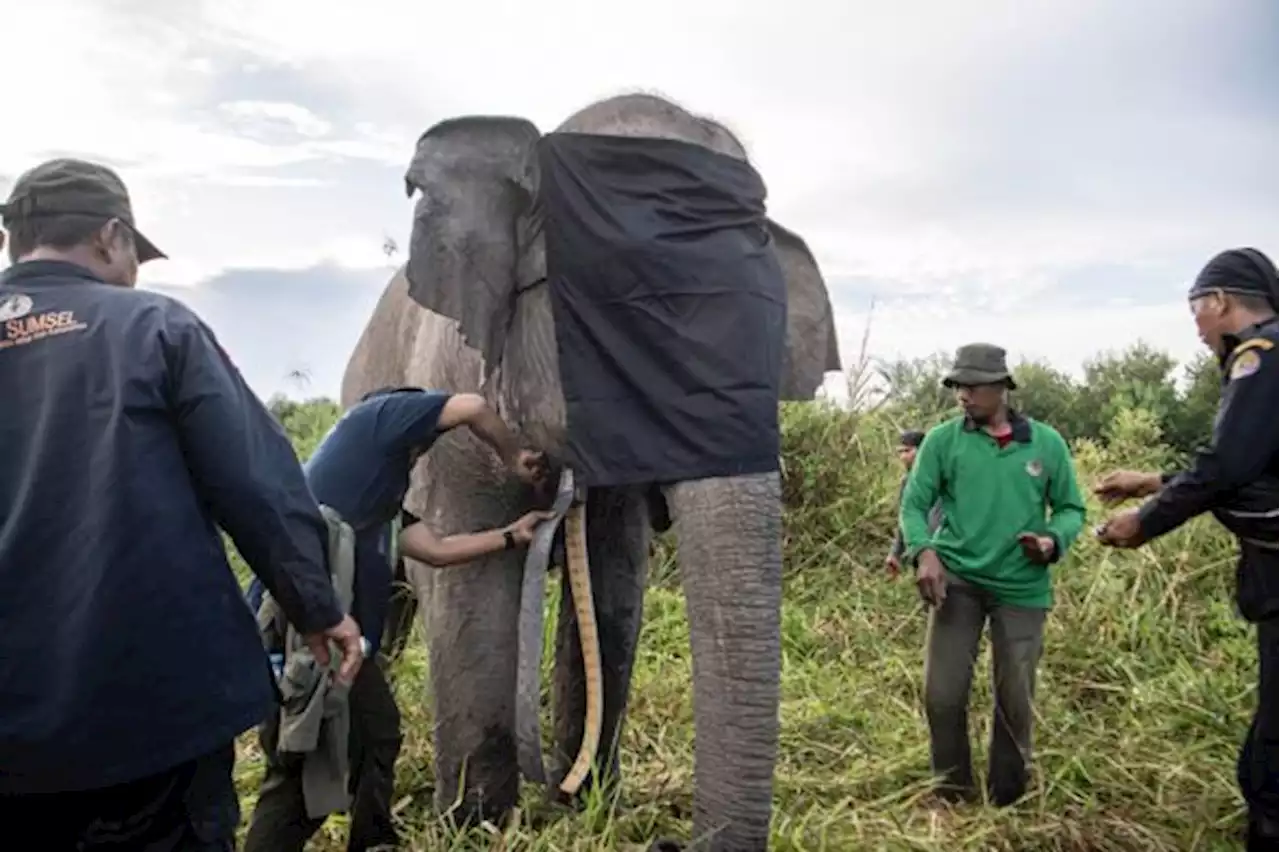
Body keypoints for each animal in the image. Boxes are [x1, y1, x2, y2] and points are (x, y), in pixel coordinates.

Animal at [340, 92, 839, 849]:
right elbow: (467, 576)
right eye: (618, 319)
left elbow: (613, 581)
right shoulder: (452, 386)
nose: (667, 840)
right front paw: (477, 828)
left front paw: (591, 804)